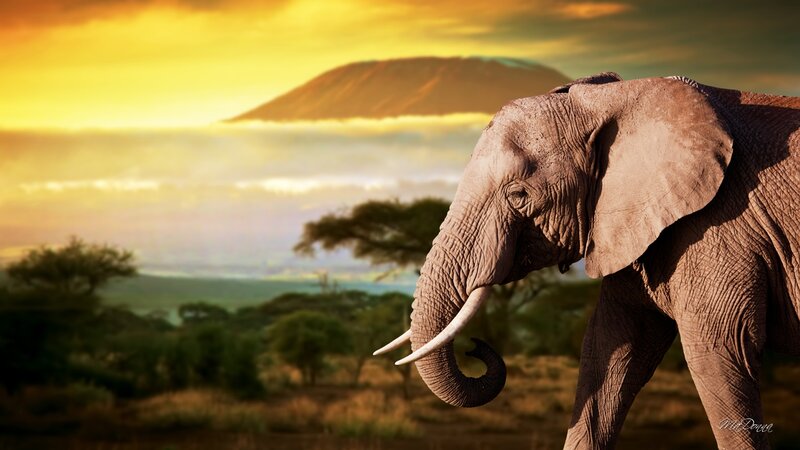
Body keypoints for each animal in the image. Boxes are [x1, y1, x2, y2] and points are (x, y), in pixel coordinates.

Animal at [374, 73, 800, 449]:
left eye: (518, 195)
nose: (475, 348)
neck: (611, 100)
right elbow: (611, 352)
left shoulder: (721, 224)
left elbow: (719, 351)